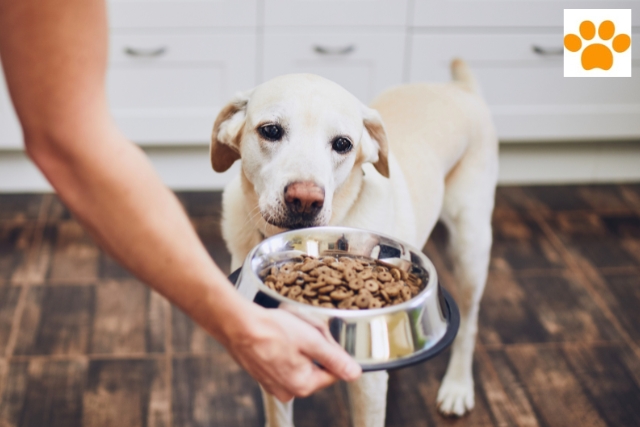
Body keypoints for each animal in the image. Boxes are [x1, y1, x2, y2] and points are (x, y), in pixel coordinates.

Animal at [210, 58, 500, 426]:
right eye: (271, 131)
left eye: (343, 144)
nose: (305, 200)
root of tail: (460, 88)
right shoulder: (275, 361)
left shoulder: (368, 385)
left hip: (470, 247)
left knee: (471, 324)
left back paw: (458, 386)